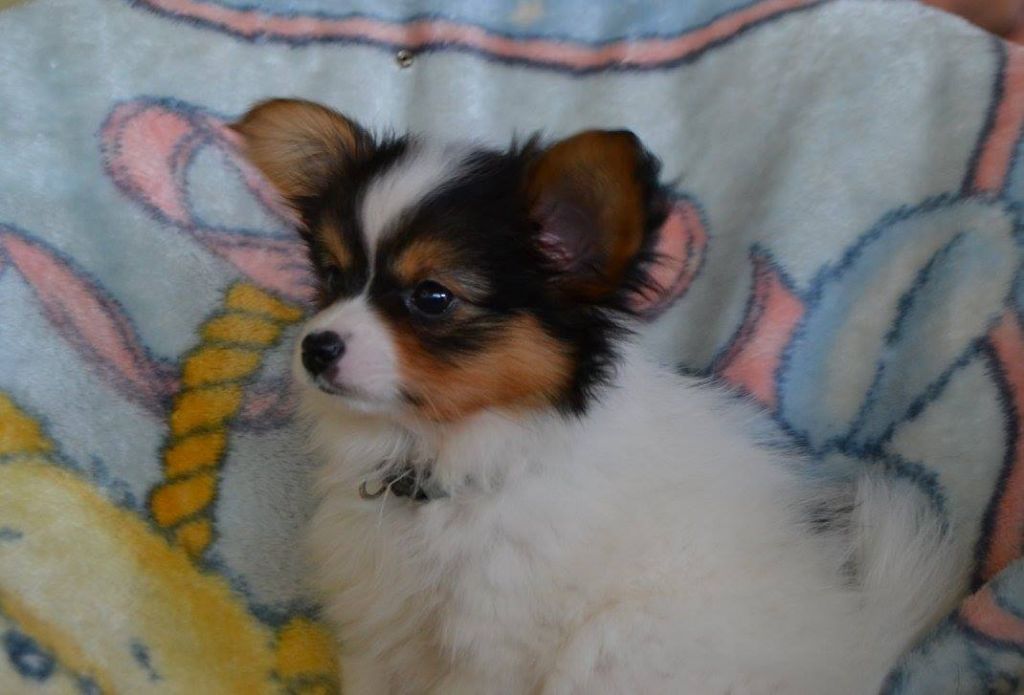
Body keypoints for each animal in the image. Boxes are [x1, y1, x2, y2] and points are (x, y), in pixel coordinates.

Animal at [233, 98, 963, 694]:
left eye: (432, 297)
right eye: (332, 277)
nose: (315, 347)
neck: (446, 462)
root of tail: (858, 651)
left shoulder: (493, 647)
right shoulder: (378, 626)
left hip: (615, 653)